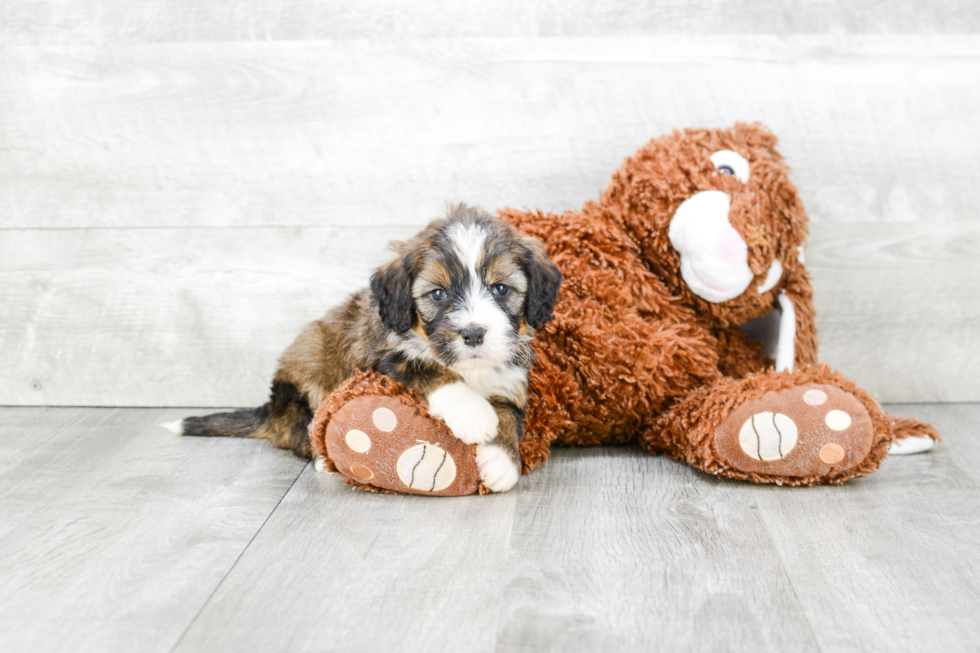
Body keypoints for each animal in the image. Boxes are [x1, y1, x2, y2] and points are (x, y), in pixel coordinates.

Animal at [166, 204, 564, 488]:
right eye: (438, 294)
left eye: (501, 289)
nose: (474, 334)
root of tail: (270, 408)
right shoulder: (377, 357)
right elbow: (425, 367)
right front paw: (473, 413)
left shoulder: (511, 379)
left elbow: (510, 414)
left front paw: (501, 462)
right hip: (308, 364)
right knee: (300, 428)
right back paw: (323, 458)